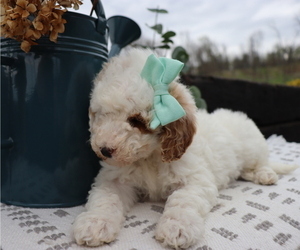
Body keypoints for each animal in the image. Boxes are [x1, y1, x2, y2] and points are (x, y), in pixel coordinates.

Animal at [73, 47, 296, 249]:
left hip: (252, 146)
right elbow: (105, 199)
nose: (103, 149)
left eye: (136, 121)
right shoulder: (114, 180)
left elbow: (183, 200)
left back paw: (265, 174)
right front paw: (94, 223)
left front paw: (177, 228)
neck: (150, 157)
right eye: (100, 114)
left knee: (260, 162)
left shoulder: (195, 179)